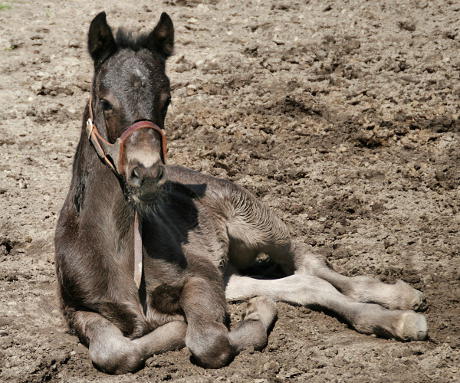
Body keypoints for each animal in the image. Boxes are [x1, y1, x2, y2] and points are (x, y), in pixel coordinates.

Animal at [55, 11, 430, 376]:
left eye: (167, 100)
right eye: (105, 102)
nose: (146, 172)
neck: (122, 254)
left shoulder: (200, 278)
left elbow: (208, 341)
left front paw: (238, 322)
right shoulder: (78, 310)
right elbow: (114, 352)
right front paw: (245, 313)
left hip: (256, 226)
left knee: (309, 263)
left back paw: (401, 304)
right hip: (231, 272)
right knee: (302, 283)